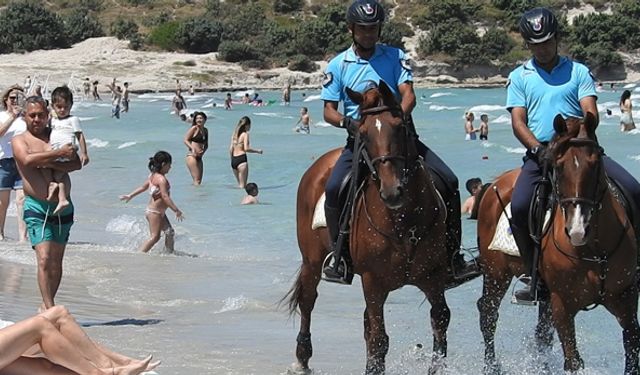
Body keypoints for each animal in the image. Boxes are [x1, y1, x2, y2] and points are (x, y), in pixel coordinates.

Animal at [282, 81, 452, 374]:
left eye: (400, 126)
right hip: (312, 261)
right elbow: (379, 339)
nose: (392, 191)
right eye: (363, 132)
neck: (404, 224)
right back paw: (302, 358)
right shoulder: (374, 283)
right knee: (308, 301)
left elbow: (439, 326)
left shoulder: (434, 278)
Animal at [478, 114, 636, 374]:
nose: (577, 230)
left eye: (595, 164)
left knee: (541, 333)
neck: (592, 250)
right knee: (488, 314)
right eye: (559, 167)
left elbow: (632, 353)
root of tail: (497, 183)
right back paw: (491, 366)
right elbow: (573, 361)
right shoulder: (562, 305)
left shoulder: (625, 300)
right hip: (495, 274)